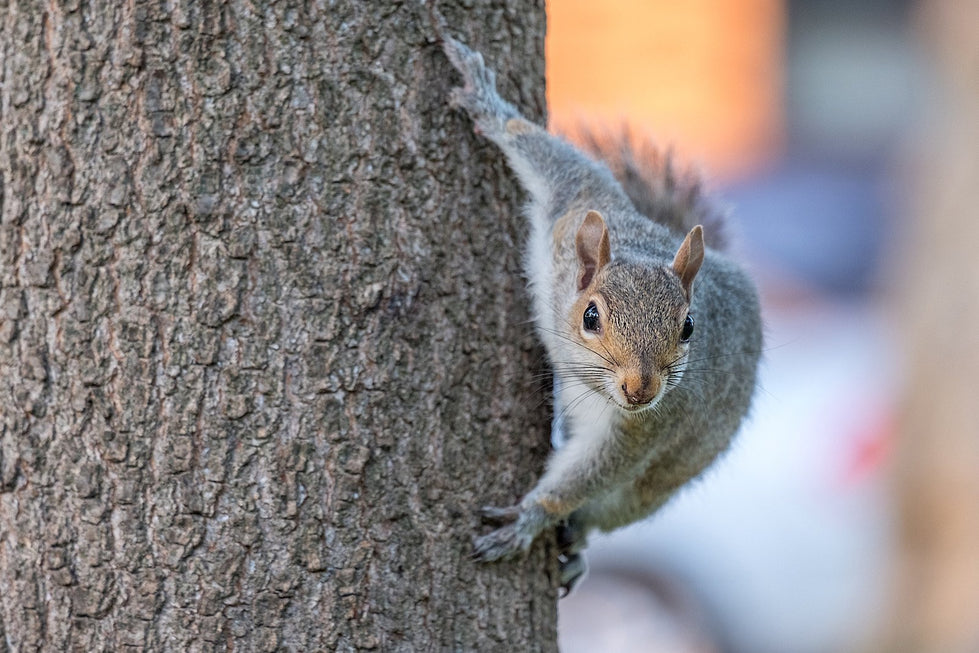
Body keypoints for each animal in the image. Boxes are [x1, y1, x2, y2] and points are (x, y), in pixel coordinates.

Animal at [436, 28, 764, 592]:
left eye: (688, 327)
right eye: (591, 317)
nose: (640, 389)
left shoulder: (647, 427)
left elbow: (593, 472)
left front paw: (532, 517)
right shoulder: (573, 208)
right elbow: (546, 154)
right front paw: (487, 102)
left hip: (652, 489)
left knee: (602, 510)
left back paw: (576, 546)